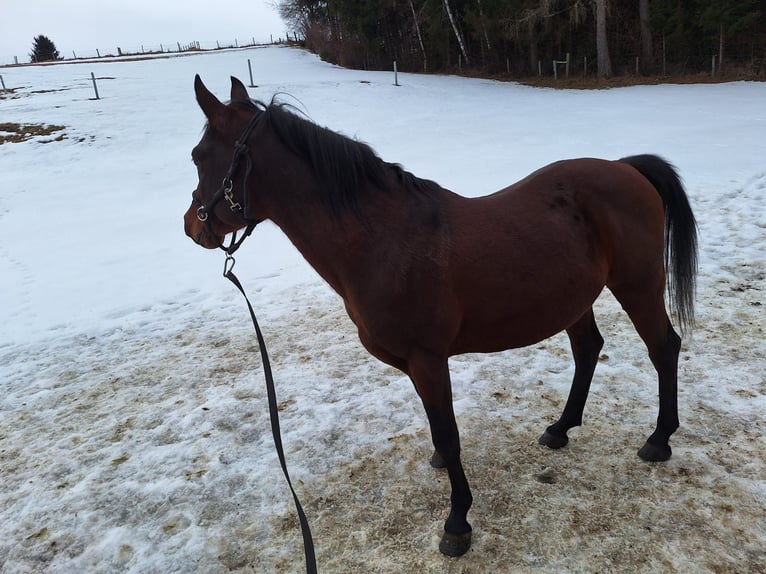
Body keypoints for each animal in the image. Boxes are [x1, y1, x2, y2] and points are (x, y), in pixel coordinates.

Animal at [184, 76, 698, 557]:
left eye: (197, 155)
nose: (192, 226)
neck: (383, 240)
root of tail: (625, 168)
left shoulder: (428, 359)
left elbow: (449, 436)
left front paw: (458, 522)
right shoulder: (415, 364)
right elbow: (438, 430)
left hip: (637, 287)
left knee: (663, 348)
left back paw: (659, 439)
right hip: (573, 299)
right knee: (589, 349)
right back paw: (560, 428)